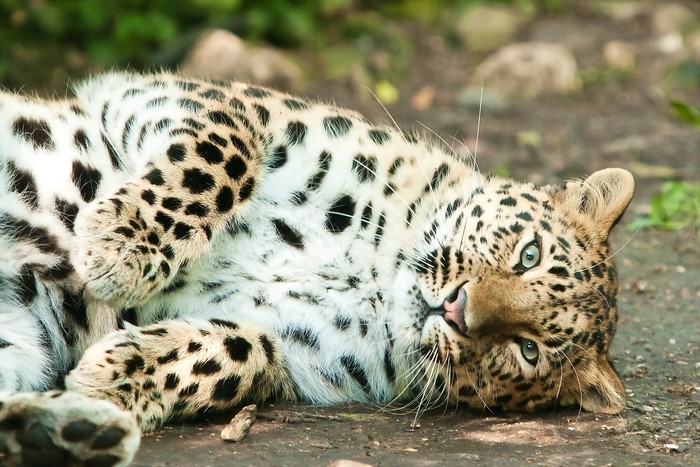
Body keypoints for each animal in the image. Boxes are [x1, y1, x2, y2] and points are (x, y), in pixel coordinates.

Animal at [0, 71, 634, 466]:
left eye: (527, 350)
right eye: (528, 255)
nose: (457, 310)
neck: (374, 277)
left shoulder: (295, 355)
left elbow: (244, 352)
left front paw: (111, 375)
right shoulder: (171, 97)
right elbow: (224, 153)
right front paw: (117, 247)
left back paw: (69, 433)